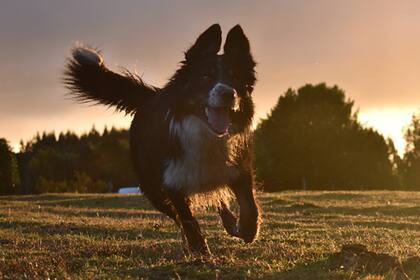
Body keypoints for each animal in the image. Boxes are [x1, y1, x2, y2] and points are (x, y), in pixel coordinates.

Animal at [64, 24, 260, 256]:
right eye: (205, 76)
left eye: (235, 77)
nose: (229, 94)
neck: (204, 133)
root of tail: (151, 97)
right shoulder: (172, 182)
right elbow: (188, 220)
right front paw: (200, 251)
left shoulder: (238, 167)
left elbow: (249, 206)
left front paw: (247, 230)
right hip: (153, 188)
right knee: (178, 216)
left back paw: (230, 224)